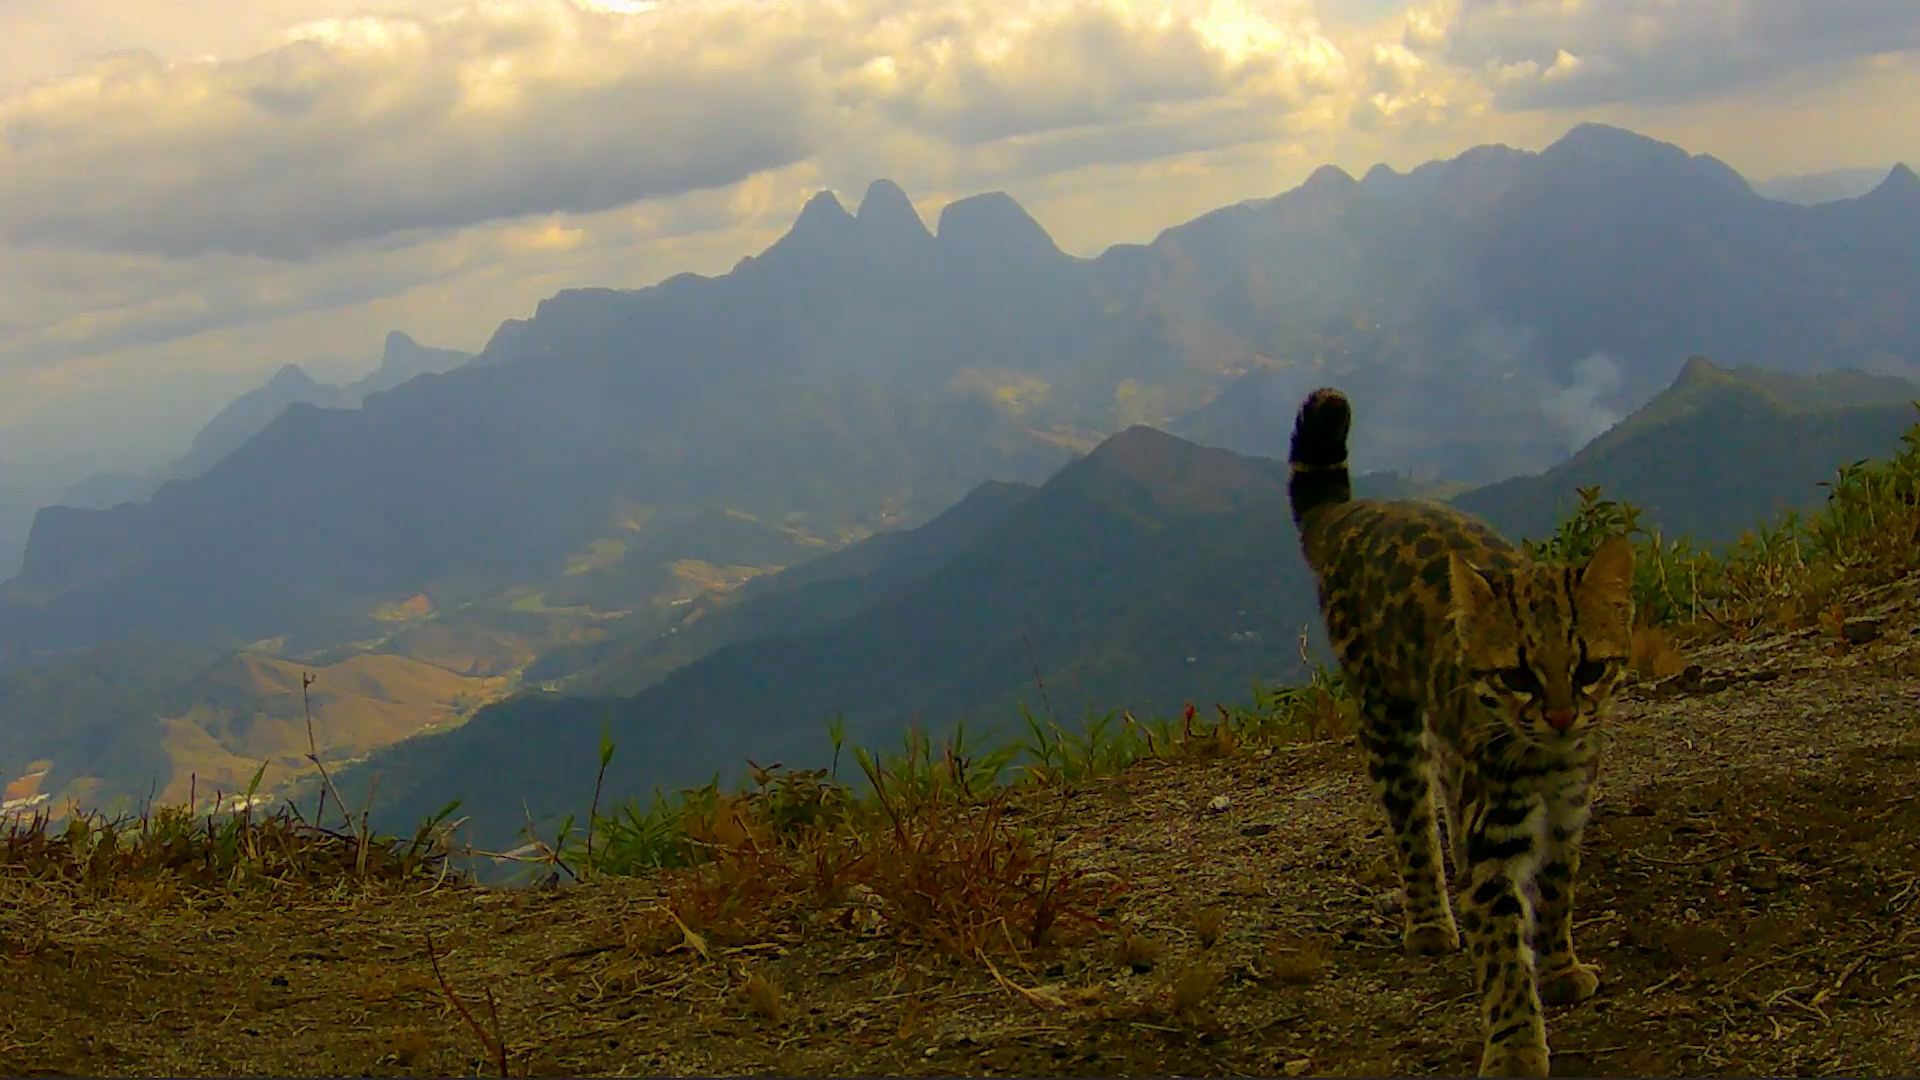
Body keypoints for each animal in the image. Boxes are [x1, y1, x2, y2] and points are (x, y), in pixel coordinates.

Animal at [1282, 384, 1628, 1068]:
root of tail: (1355, 513)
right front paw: (1517, 1047)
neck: (1549, 762)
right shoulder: (1498, 840)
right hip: (1388, 716)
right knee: (1414, 827)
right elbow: (1504, 952)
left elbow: (1556, 896)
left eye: (1589, 669)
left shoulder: (1568, 817)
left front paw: (1559, 966)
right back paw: (1431, 924)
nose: (1560, 715)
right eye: (1518, 675)